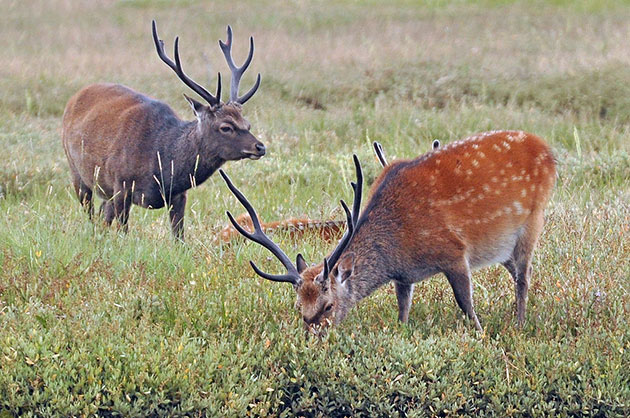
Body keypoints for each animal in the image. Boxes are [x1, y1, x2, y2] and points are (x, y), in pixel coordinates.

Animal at [61, 21, 264, 240]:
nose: (260, 147)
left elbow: (179, 237)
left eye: (247, 123)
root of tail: (75, 97)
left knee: (102, 217)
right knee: (90, 213)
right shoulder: (121, 185)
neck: (161, 164)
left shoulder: (179, 195)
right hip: (78, 172)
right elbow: (123, 232)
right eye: (226, 126)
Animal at [222, 131, 556, 334]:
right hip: (503, 248)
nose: (312, 338)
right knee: (517, 273)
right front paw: (403, 331)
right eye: (298, 306)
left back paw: (519, 324)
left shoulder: (454, 252)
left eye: (328, 305)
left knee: (524, 276)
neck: (398, 248)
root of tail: (547, 149)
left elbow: (466, 304)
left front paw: (481, 334)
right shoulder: (404, 277)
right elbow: (402, 310)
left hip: (533, 221)